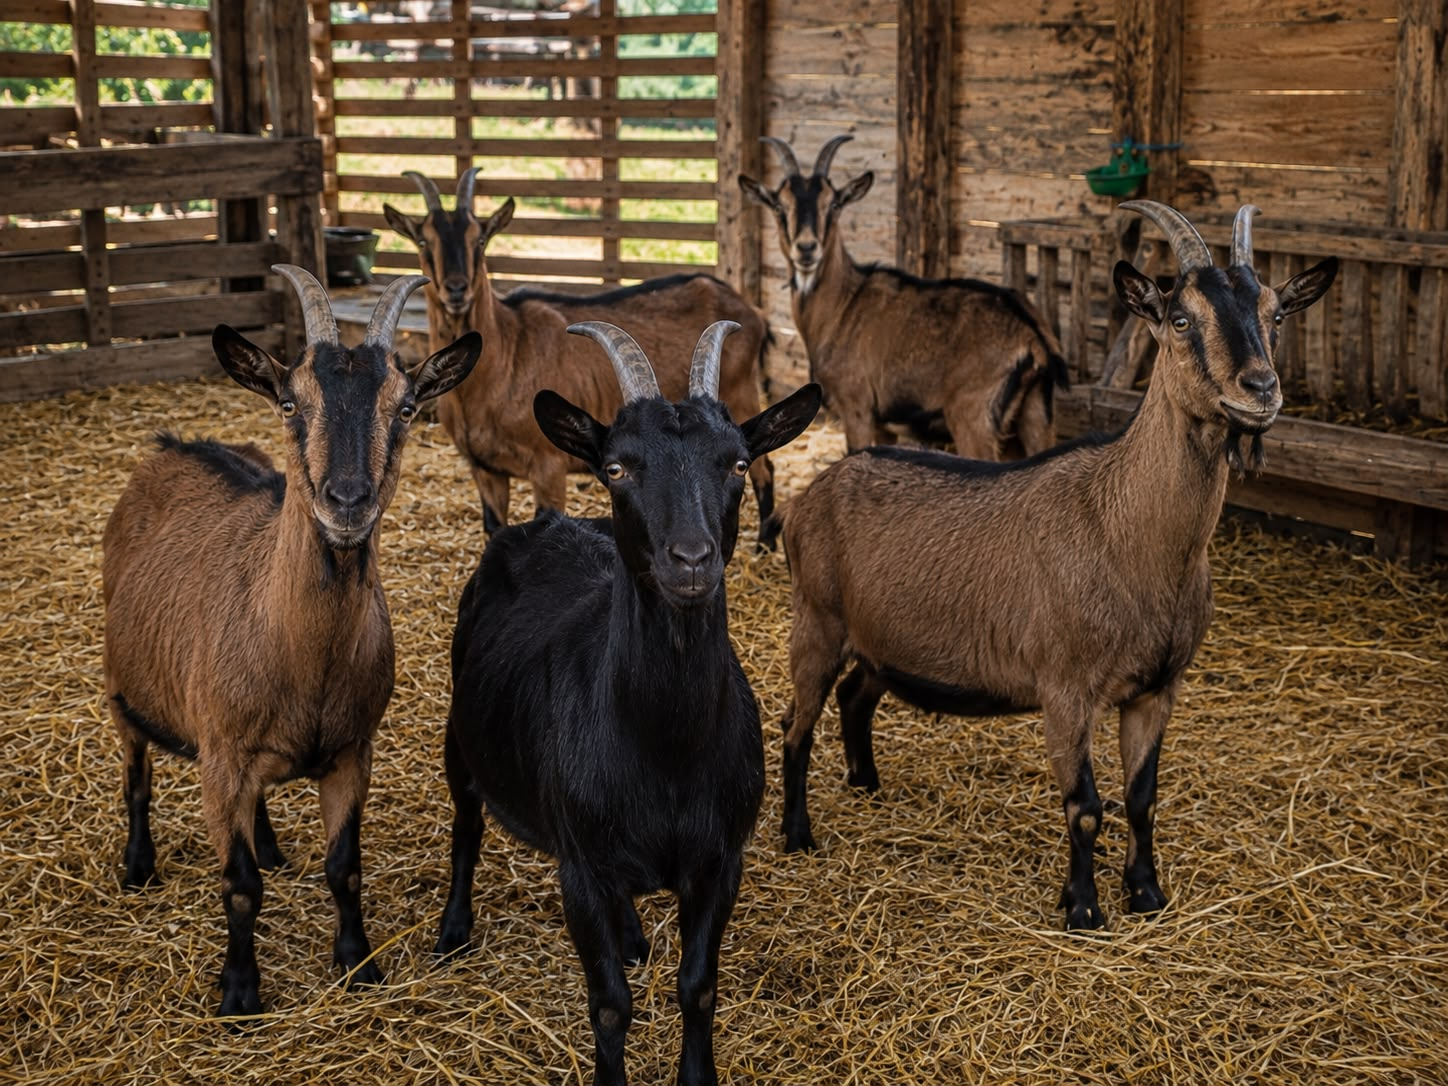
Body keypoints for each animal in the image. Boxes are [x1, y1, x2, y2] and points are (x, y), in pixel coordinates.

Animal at [101, 266, 481, 1017]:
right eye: (288, 403)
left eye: (405, 409)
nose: (346, 501)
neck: (299, 658)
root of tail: (170, 445)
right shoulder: (220, 757)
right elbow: (239, 884)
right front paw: (240, 994)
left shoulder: (351, 753)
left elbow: (345, 869)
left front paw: (358, 965)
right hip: (122, 684)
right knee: (136, 771)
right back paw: (138, 865)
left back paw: (273, 845)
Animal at [383, 169, 782, 542]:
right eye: (423, 240)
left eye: (480, 239)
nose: (456, 289)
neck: (504, 355)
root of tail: (751, 311)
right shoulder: (485, 469)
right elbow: (494, 530)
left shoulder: (548, 466)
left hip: (742, 395)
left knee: (764, 468)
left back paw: (764, 544)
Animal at [435, 320, 821, 1085]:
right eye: (617, 468)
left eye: (737, 463)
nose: (692, 560)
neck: (664, 750)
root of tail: (544, 523)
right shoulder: (580, 872)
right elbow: (610, 1004)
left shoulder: (719, 863)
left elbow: (698, 988)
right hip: (459, 740)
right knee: (467, 824)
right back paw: (454, 929)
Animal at [739, 134, 1069, 461]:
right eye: (779, 206)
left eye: (833, 203)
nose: (807, 249)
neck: (844, 303)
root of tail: (1033, 337)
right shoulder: (883, 423)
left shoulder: (856, 405)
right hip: (1035, 415)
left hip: (973, 417)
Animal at [774, 202, 1337, 930]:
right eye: (1180, 319)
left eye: (1276, 314)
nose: (1260, 389)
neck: (1126, 531)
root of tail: (812, 494)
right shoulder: (1066, 689)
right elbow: (1086, 807)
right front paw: (1084, 910)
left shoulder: (1157, 688)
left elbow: (1143, 797)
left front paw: (1147, 894)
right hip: (816, 621)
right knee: (796, 723)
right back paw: (797, 833)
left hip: (880, 640)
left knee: (854, 695)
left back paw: (866, 782)